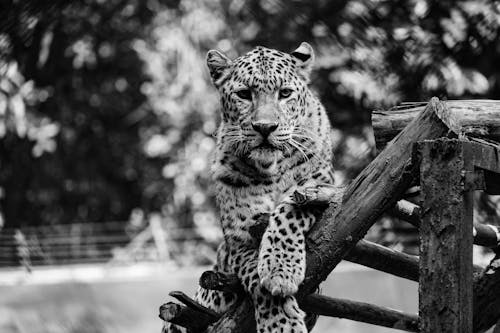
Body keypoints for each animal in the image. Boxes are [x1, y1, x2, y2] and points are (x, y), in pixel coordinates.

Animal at [164, 42, 334, 332]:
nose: (265, 127)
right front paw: (281, 320)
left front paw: (279, 267)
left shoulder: (323, 189)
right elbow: (256, 277)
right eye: (244, 94)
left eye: (285, 93)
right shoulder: (239, 240)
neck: (271, 168)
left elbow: (289, 210)